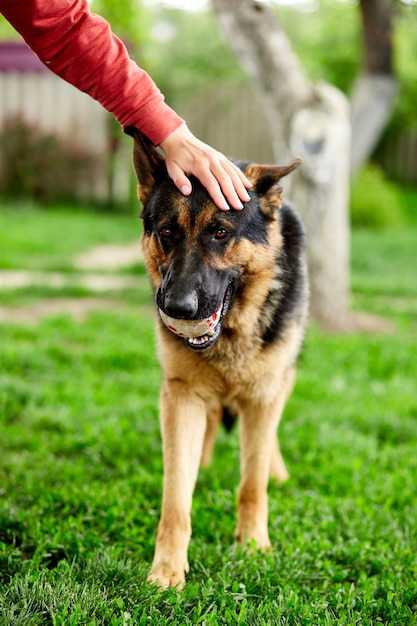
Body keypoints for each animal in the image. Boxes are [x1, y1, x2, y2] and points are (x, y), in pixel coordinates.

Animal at [127, 127, 308, 584]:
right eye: (166, 232)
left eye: (221, 233)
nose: (177, 308)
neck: (230, 338)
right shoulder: (181, 397)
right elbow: (176, 497)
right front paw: (167, 571)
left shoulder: (263, 396)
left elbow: (253, 483)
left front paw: (254, 546)